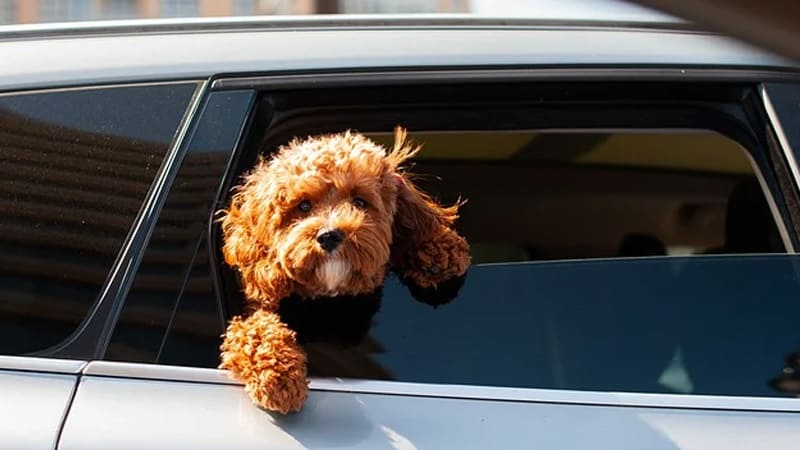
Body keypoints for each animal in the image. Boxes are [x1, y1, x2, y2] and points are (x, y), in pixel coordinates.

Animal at [216, 127, 472, 414]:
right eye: (303, 205)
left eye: (359, 202)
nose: (329, 236)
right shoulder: (253, 311)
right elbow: (254, 331)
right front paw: (279, 378)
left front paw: (440, 248)